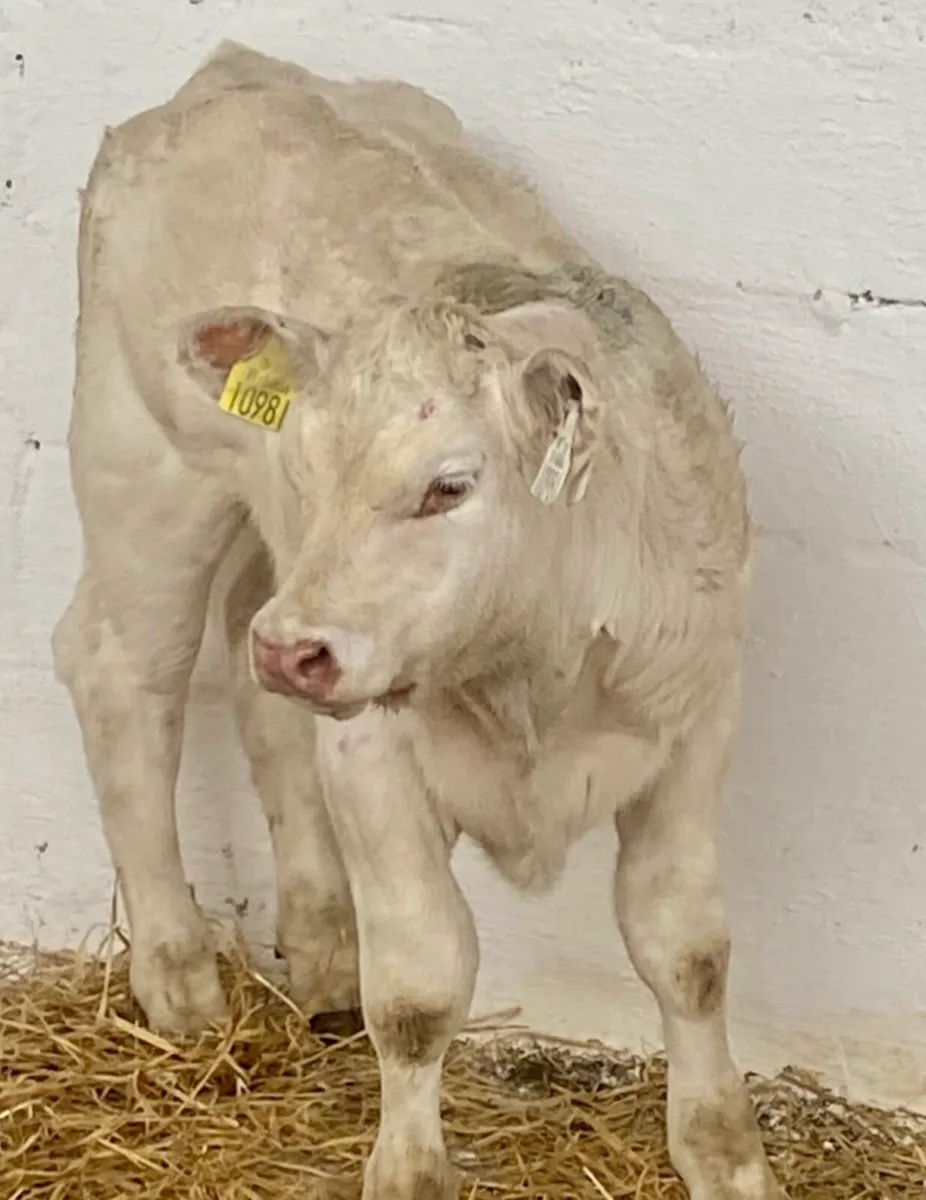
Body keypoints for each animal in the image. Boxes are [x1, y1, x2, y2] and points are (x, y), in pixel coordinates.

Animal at [52, 40, 785, 1200]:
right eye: (305, 466)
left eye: (448, 486)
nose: (297, 651)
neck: (528, 671)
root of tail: (233, 70)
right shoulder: (379, 762)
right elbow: (420, 988)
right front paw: (406, 1167)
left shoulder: (695, 719)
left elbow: (686, 949)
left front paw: (723, 1153)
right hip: (144, 471)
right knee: (123, 676)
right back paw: (177, 975)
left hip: (266, 575)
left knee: (256, 704)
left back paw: (318, 955)